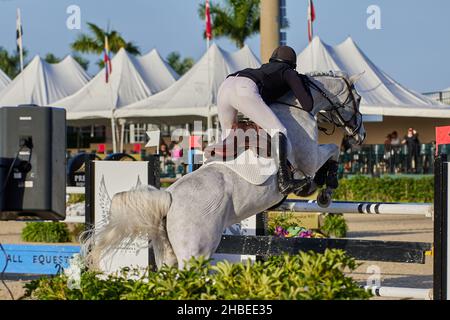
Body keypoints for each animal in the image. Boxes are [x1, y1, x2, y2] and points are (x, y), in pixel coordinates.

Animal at [82, 70, 368, 270]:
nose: (361, 135)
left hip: (168, 255)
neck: (296, 109)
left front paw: (317, 187)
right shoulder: (310, 159)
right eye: (358, 98)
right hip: (195, 252)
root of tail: (168, 196)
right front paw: (324, 190)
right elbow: (332, 151)